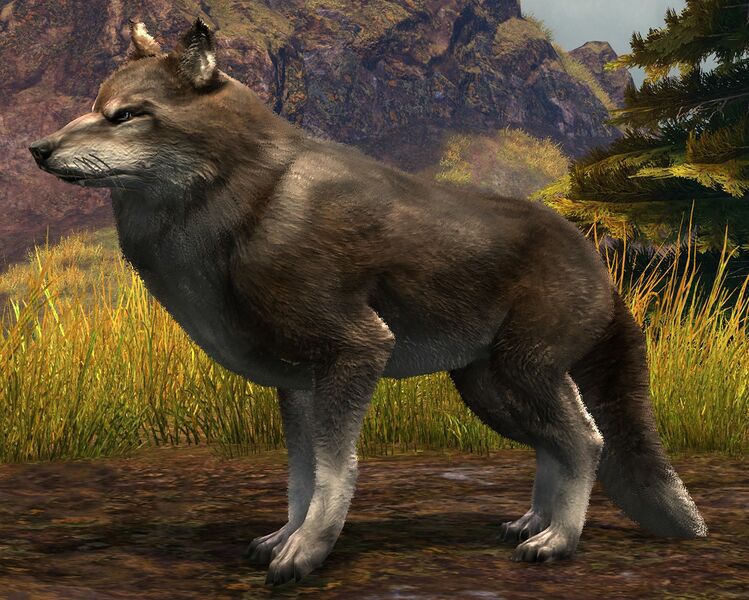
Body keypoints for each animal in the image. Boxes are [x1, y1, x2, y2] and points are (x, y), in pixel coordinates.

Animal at [29, 18, 707, 585]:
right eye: (93, 108)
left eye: (125, 115)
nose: (37, 149)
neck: (246, 209)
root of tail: (596, 261)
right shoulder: (298, 384)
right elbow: (299, 479)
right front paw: (284, 538)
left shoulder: (357, 352)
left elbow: (335, 473)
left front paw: (306, 554)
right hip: (491, 393)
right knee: (556, 447)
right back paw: (531, 525)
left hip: (525, 374)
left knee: (586, 442)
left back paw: (558, 542)